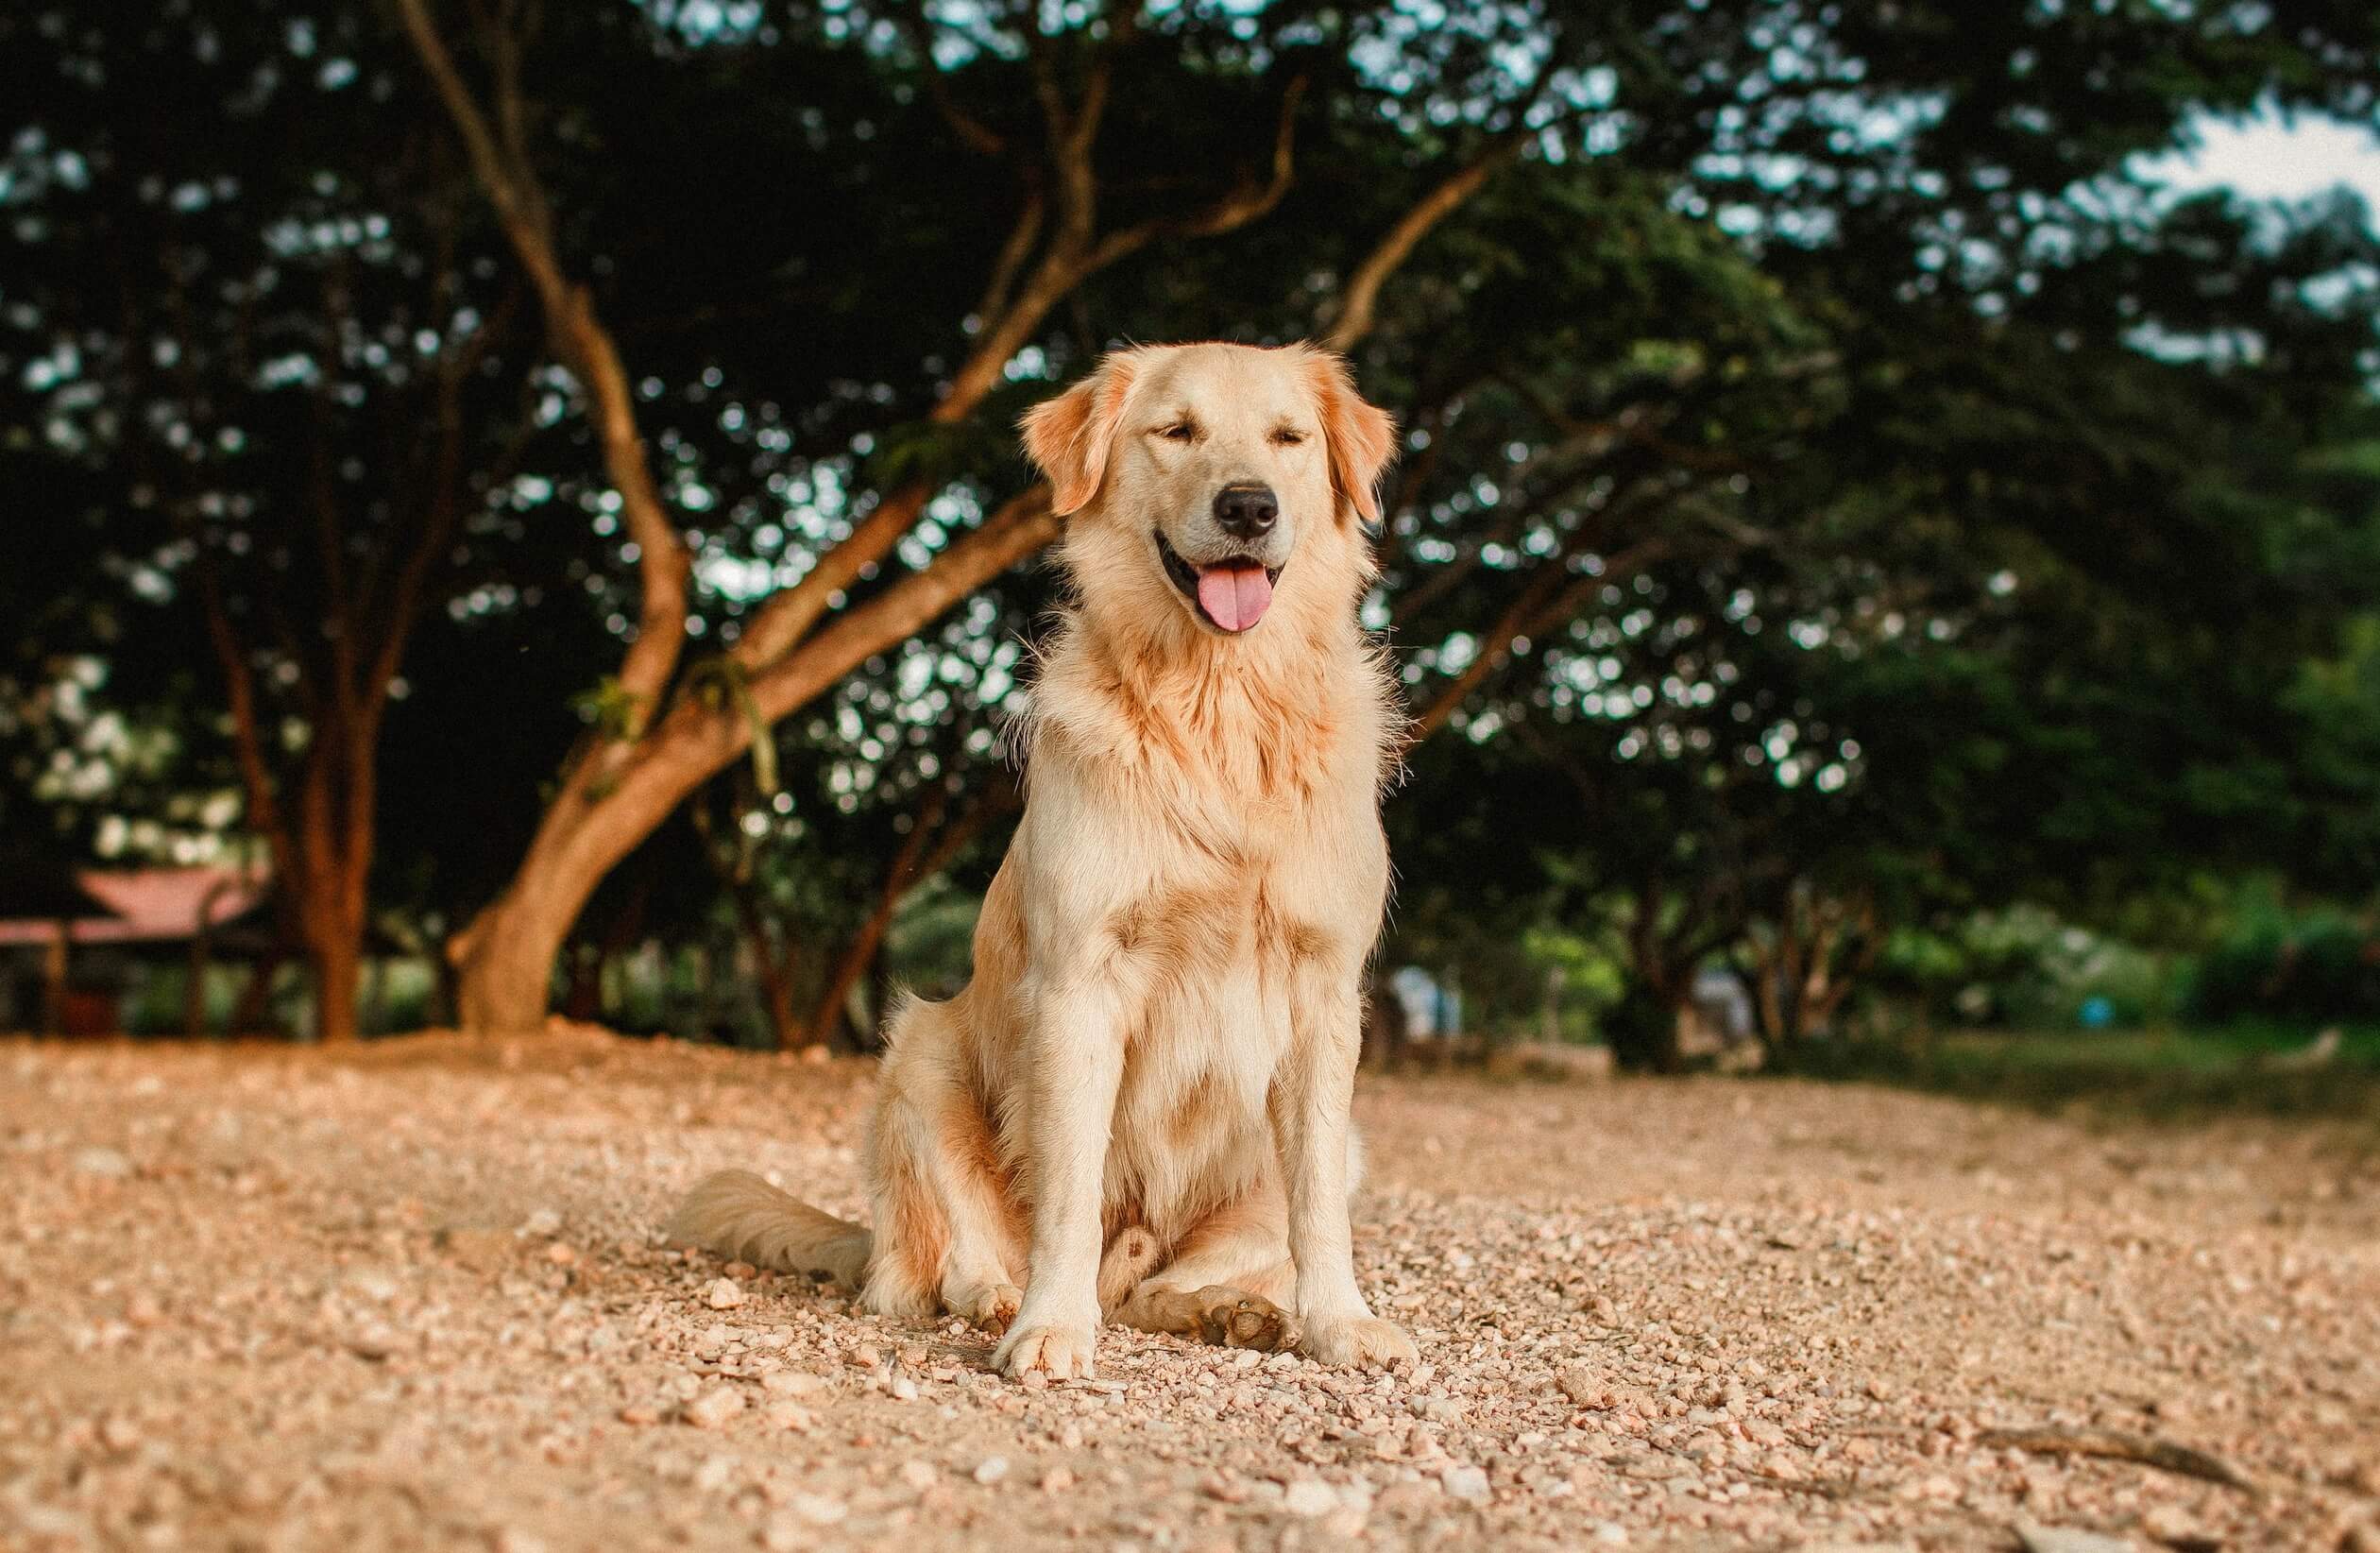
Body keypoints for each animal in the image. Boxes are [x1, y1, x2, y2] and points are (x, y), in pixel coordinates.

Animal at [671, 340, 1408, 1381]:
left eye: (1288, 438)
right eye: (1176, 431)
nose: (1249, 508)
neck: (1218, 705)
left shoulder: (1323, 992)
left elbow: (1315, 1214)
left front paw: (1339, 1322)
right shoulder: (1079, 982)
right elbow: (1068, 1191)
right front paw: (1051, 1327)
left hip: (1344, 1145)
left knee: (1153, 1288)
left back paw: (1229, 1311)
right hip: (919, 1053)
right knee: (939, 1269)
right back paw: (1000, 1298)